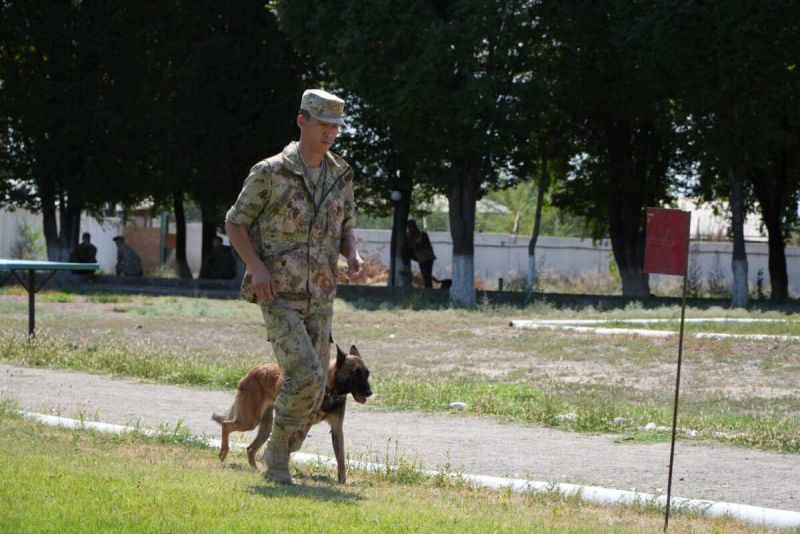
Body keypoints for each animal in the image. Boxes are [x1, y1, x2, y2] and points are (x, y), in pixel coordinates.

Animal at [212, 346, 376, 488]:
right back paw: (224, 452)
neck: (329, 389)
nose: (370, 392)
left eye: (367, 373)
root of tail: (252, 371)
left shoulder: (336, 430)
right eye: (356, 373)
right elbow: (290, 448)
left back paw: (256, 469)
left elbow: (341, 458)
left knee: (250, 449)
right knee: (226, 425)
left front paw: (343, 481)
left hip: (266, 427)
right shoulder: (300, 426)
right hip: (250, 420)